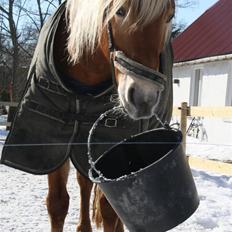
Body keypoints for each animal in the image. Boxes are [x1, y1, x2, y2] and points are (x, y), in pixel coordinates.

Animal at [1, 0, 176, 232]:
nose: (144, 98)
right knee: (84, 183)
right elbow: (57, 204)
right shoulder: (54, 146)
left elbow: (109, 210)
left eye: (169, 16)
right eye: (120, 12)